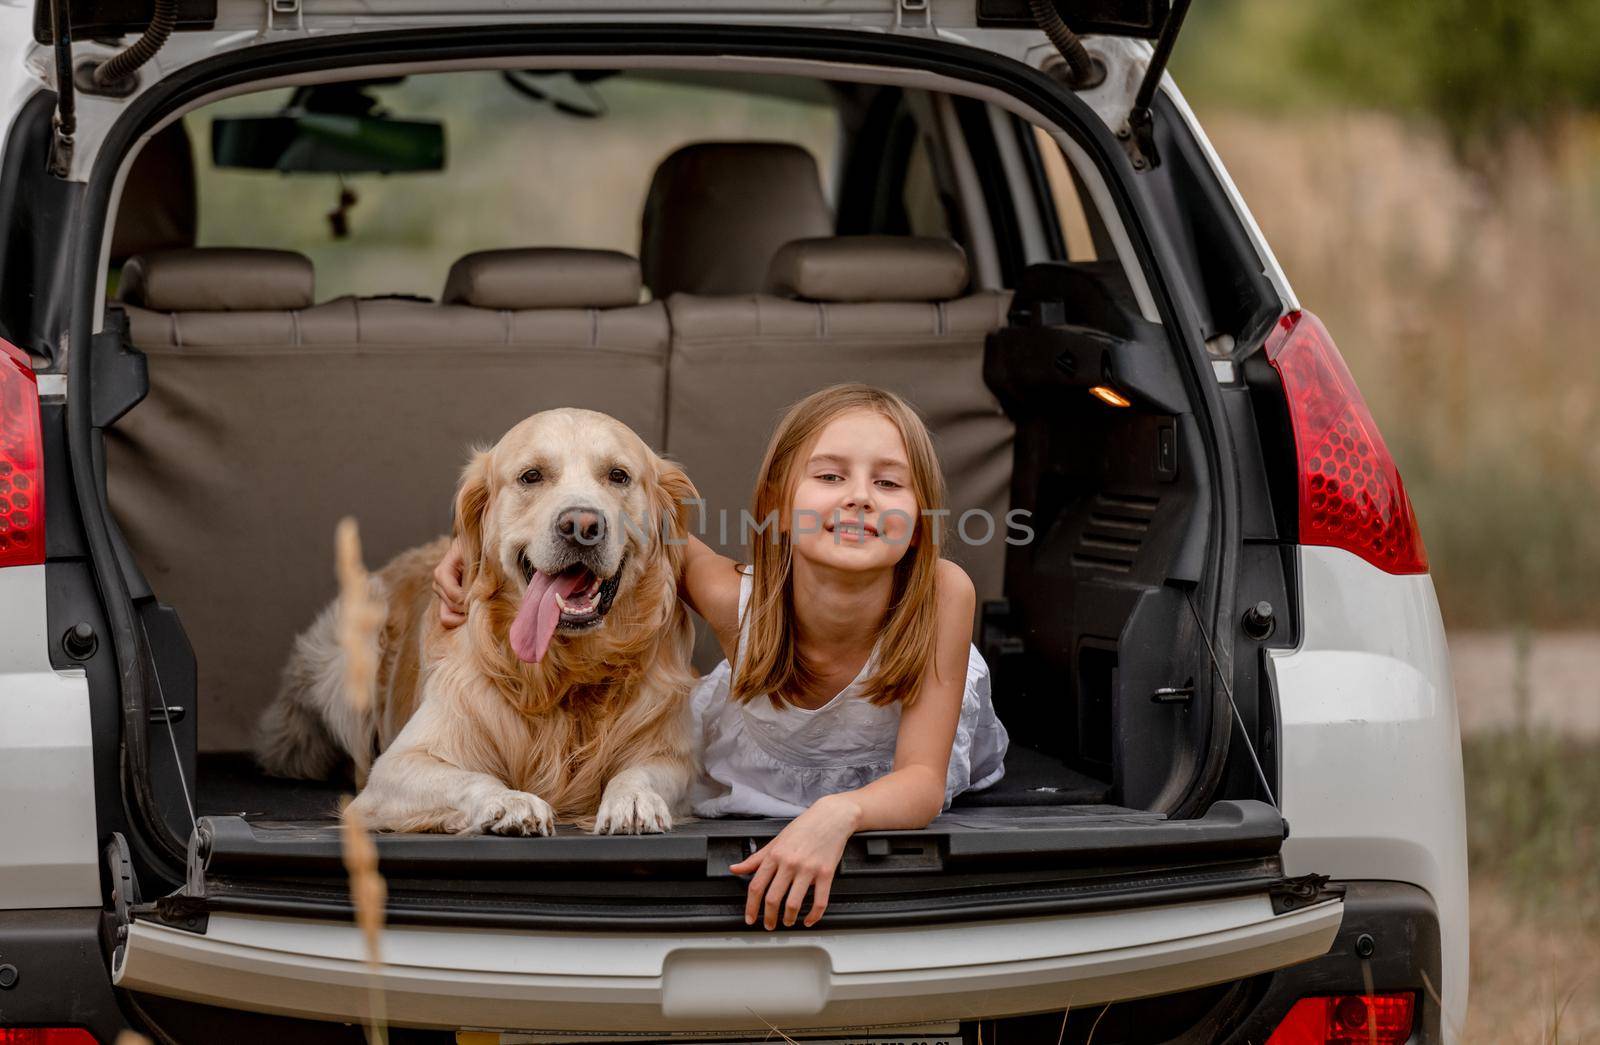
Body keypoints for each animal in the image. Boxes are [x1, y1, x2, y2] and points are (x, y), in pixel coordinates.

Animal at [252, 403, 697, 838]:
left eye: (618, 475)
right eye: (531, 476)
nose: (581, 526)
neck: (564, 676)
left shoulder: (671, 755)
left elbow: (641, 772)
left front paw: (633, 799)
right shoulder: (398, 765)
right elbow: (470, 778)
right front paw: (511, 802)